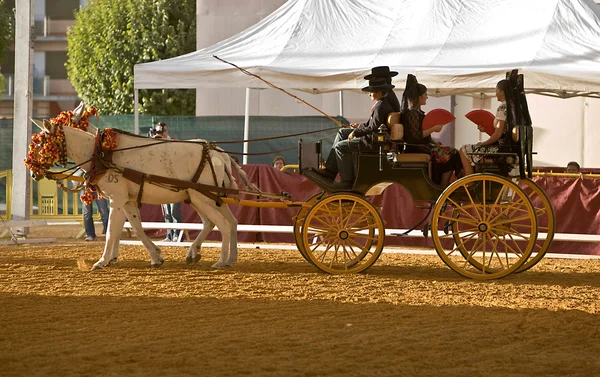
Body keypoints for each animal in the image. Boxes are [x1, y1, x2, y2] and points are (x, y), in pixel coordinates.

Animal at [30, 113, 255, 268]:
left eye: (42, 144)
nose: (32, 171)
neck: (102, 152)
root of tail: (219, 153)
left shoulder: (117, 198)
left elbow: (112, 230)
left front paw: (102, 261)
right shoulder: (127, 200)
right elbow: (135, 228)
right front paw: (154, 257)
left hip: (202, 198)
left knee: (222, 224)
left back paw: (221, 261)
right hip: (205, 198)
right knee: (227, 223)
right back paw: (219, 256)